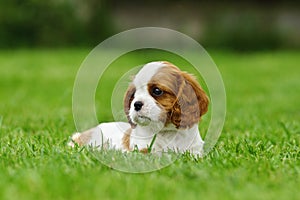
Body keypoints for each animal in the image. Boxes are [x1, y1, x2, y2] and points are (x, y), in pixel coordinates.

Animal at [68, 61, 209, 156]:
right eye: (134, 94)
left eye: (157, 91)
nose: (136, 104)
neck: (167, 132)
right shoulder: (142, 150)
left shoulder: (194, 152)